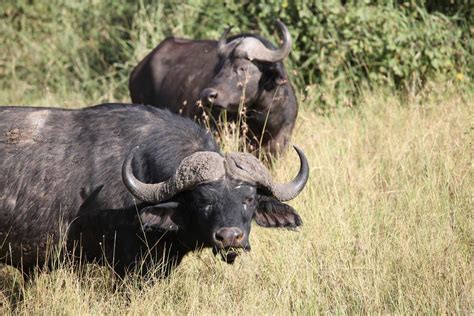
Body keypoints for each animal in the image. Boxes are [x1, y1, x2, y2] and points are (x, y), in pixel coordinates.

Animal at [130, 20, 296, 158]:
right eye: (220, 67)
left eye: (242, 68)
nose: (207, 95)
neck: (262, 117)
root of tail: (138, 69)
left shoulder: (279, 143)